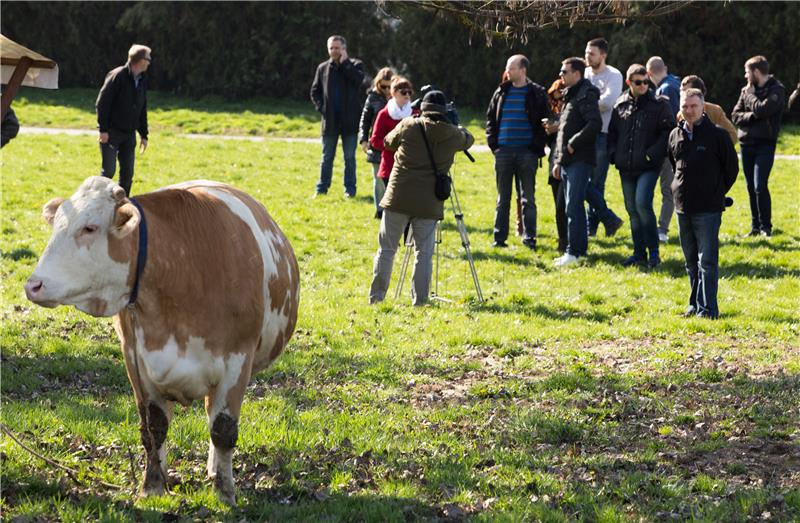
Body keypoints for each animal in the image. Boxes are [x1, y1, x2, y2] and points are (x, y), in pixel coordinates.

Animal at [26, 178, 300, 506]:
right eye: (56, 224)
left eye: (90, 227)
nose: (33, 285)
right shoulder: (136, 361)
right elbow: (154, 427)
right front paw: (152, 487)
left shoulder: (237, 362)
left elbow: (223, 430)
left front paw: (225, 494)